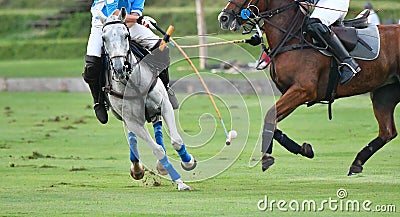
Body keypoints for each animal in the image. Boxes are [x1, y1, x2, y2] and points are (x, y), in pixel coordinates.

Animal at [98, 8, 195, 190]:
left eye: (126, 35)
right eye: (103, 38)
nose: (119, 69)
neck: (131, 81)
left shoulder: (164, 105)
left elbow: (176, 141)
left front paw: (188, 162)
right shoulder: (132, 120)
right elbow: (157, 149)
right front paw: (179, 181)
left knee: (157, 125)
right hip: (126, 117)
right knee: (132, 135)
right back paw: (137, 168)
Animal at [219, 0, 400, 175]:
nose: (223, 18)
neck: (292, 38)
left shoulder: (303, 90)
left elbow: (270, 116)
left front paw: (267, 158)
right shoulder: (291, 92)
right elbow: (272, 120)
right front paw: (304, 149)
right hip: (383, 95)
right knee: (387, 132)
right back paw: (357, 163)